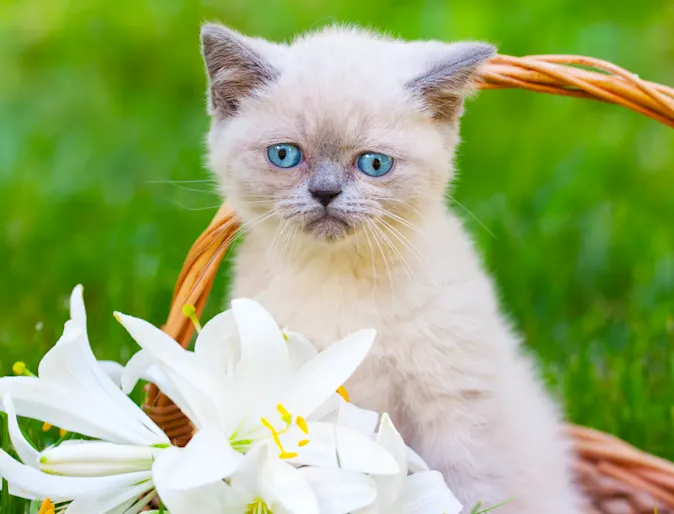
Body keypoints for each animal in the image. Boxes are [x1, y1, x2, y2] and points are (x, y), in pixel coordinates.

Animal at [201, 22, 584, 510]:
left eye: (374, 163)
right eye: (284, 155)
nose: (325, 193)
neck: (338, 274)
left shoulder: (454, 404)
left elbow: (467, 488)